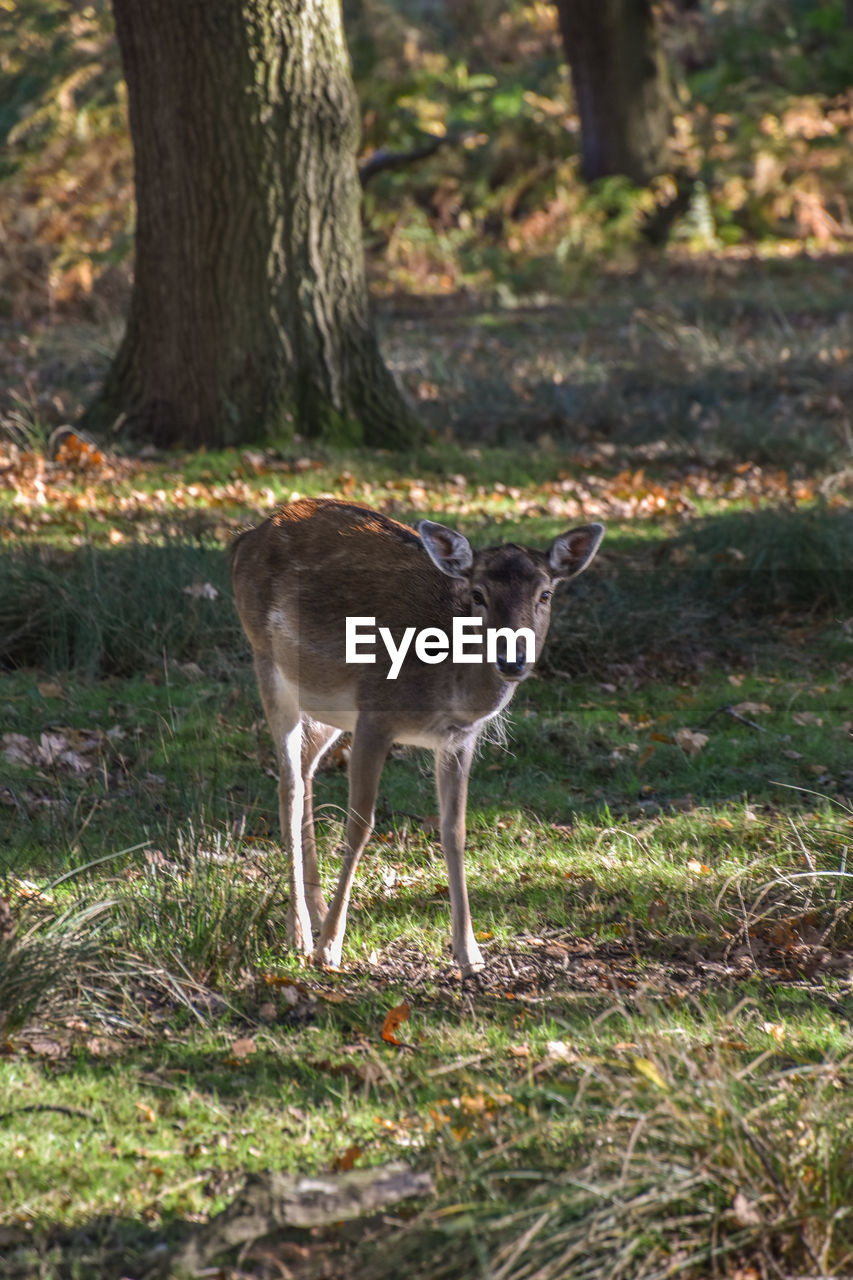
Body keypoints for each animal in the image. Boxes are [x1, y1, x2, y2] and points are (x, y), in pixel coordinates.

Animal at [225, 494, 596, 972]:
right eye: (478, 594)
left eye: (545, 593)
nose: (511, 660)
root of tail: (244, 539)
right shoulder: (374, 715)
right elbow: (359, 825)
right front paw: (331, 949)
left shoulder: (459, 740)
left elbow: (454, 830)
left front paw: (469, 953)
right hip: (268, 662)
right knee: (287, 787)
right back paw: (302, 934)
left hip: (326, 707)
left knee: (305, 772)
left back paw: (317, 911)